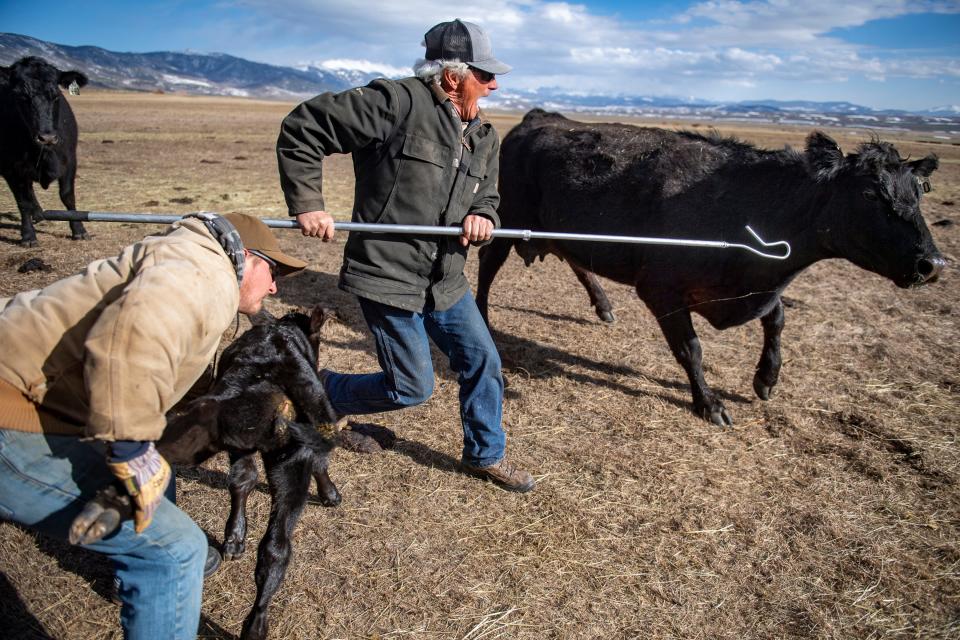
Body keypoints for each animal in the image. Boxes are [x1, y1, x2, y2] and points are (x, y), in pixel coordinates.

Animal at [0, 56, 89, 246]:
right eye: (21, 96)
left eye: (56, 95)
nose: (46, 137)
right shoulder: (11, 169)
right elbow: (23, 202)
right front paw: (28, 236)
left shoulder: (70, 160)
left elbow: (67, 195)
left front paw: (79, 230)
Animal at [476, 110, 940, 428]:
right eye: (868, 193)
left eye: (919, 191)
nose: (932, 263)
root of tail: (540, 117)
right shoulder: (660, 289)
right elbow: (691, 349)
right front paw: (710, 403)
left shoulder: (755, 286)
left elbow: (778, 318)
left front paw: (767, 378)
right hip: (505, 218)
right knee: (486, 268)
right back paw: (484, 319)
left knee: (578, 262)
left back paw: (604, 306)